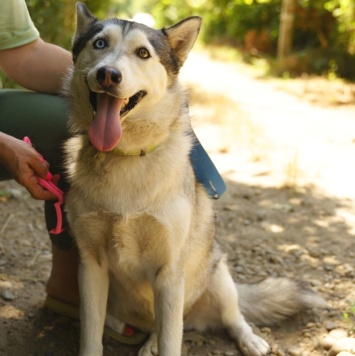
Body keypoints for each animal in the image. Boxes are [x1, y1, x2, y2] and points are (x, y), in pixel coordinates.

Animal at [64, 2, 328, 356]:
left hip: (217, 277)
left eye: (143, 53)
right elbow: (91, 337)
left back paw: (248, 339)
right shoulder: (91, 266)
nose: (109, 74)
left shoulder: (169, 274)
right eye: (100, 44)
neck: (125, 157)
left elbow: (172, 340)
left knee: (227, 318)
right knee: (158, 326)